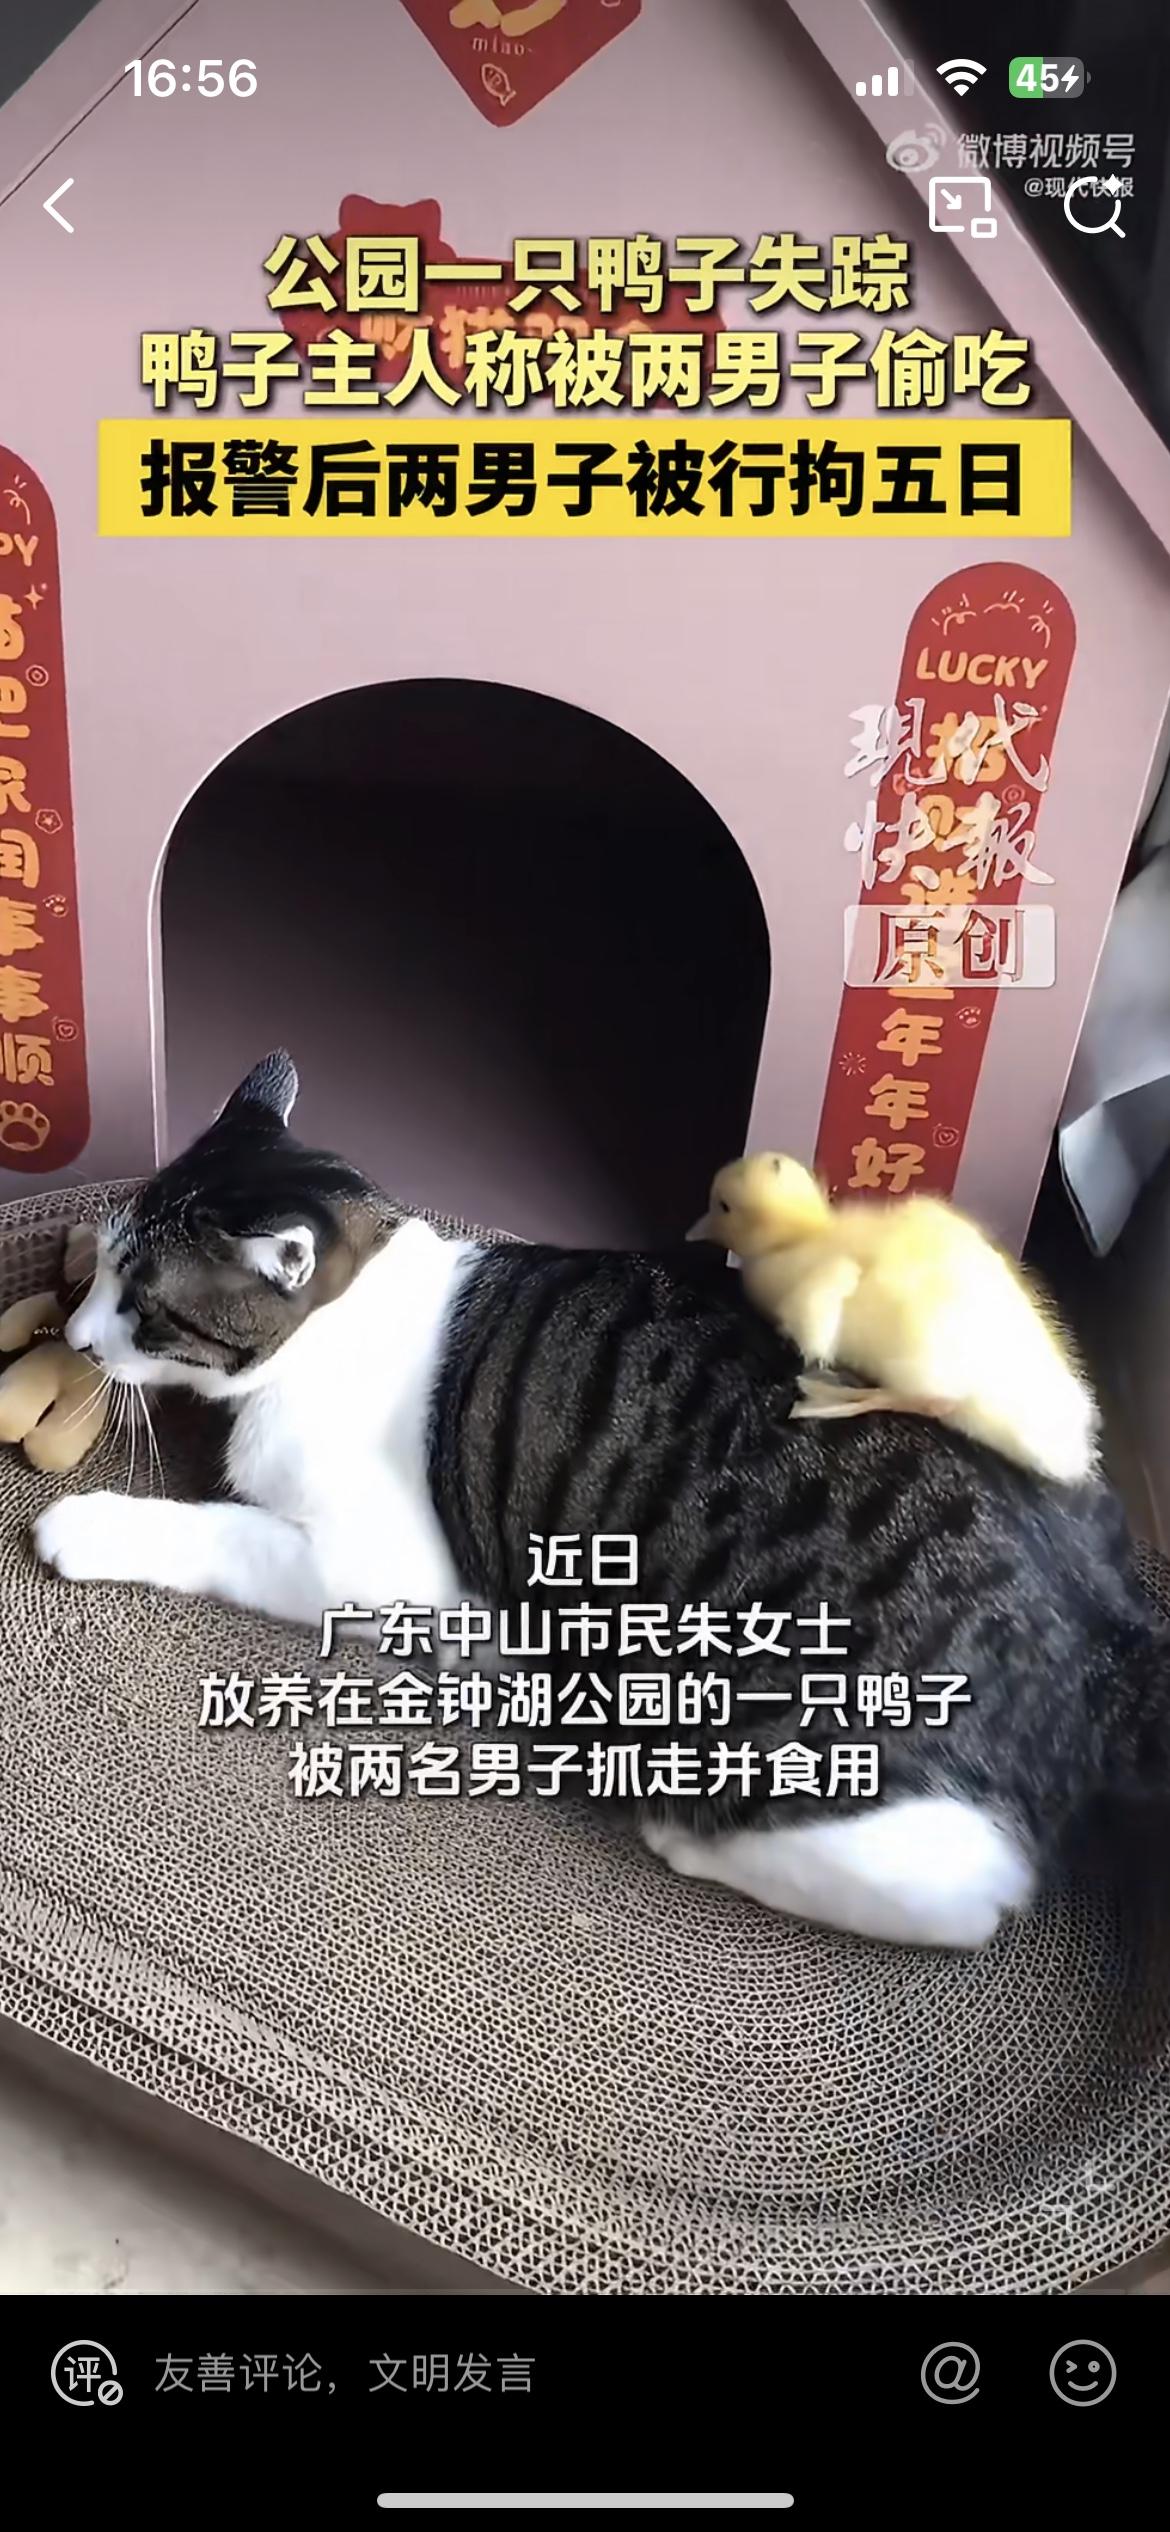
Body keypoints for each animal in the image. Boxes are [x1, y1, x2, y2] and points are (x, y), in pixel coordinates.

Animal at [33, 1051, 1170, 1951]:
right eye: (107, 1282)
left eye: (142, 1306)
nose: (79, 1339)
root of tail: (1110, 1636)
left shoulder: (377, 1564)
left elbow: (227, 1534)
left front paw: (88, 1523)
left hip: (783, 1738)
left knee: (962, 1895)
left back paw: (681, 1829)